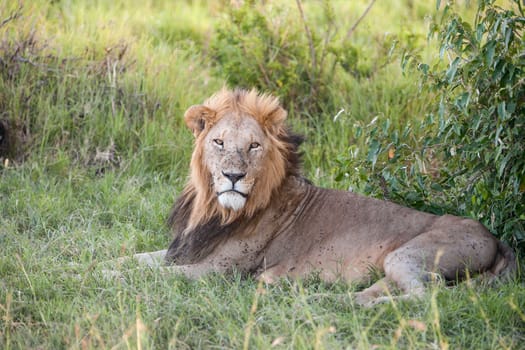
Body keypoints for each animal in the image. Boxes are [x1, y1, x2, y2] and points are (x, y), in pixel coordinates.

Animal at [128, 88, 516, 306]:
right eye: (219, 142)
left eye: (253, 146)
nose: (233, 177)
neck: (214, 209)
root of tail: (494, 236)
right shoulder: (184, 250)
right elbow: (134, 260)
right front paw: (111, 266)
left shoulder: (220, 270)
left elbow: (157, 276)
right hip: (393, 267)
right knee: (384, 292)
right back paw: (325, 300)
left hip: (407, 256)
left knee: (426, 298)